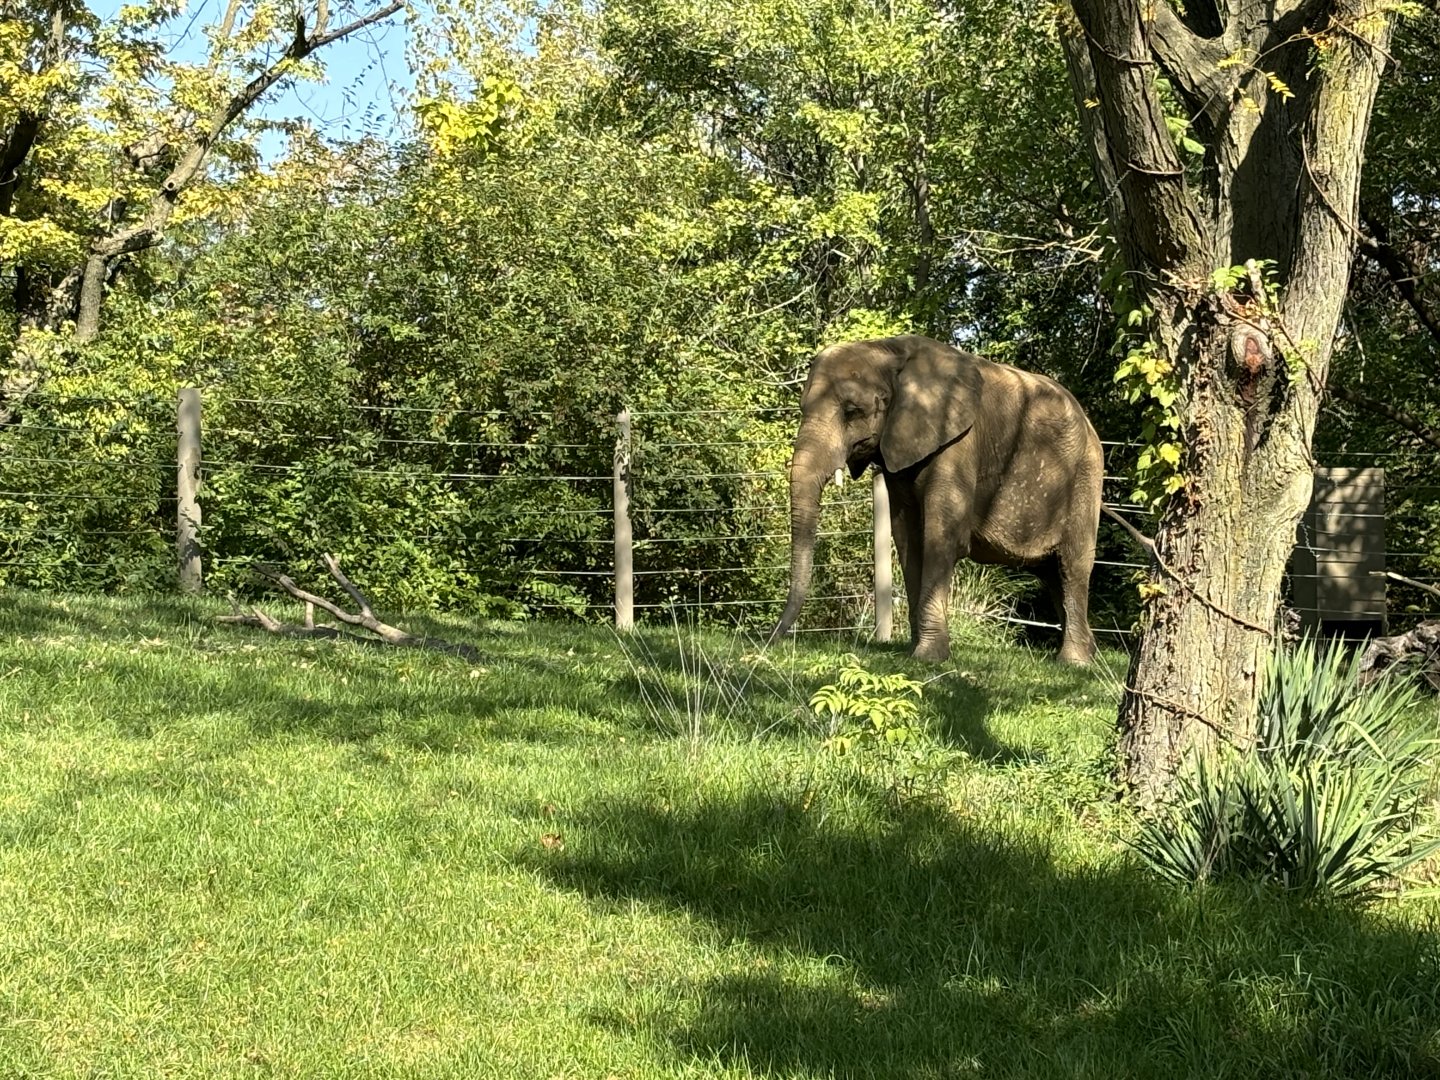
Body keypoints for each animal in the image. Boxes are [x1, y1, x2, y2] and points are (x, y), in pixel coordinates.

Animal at [773, 334, 1103, 664]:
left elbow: (942, 537)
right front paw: (914, 652)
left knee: (1072, 566)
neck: (888, 350)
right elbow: (908, 540)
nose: (772, 639)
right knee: (1053, 574)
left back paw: (1074, 662)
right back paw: (1089, 654)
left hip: (1086, 477)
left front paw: (927, 657)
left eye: (852, 411)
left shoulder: (958, 441)